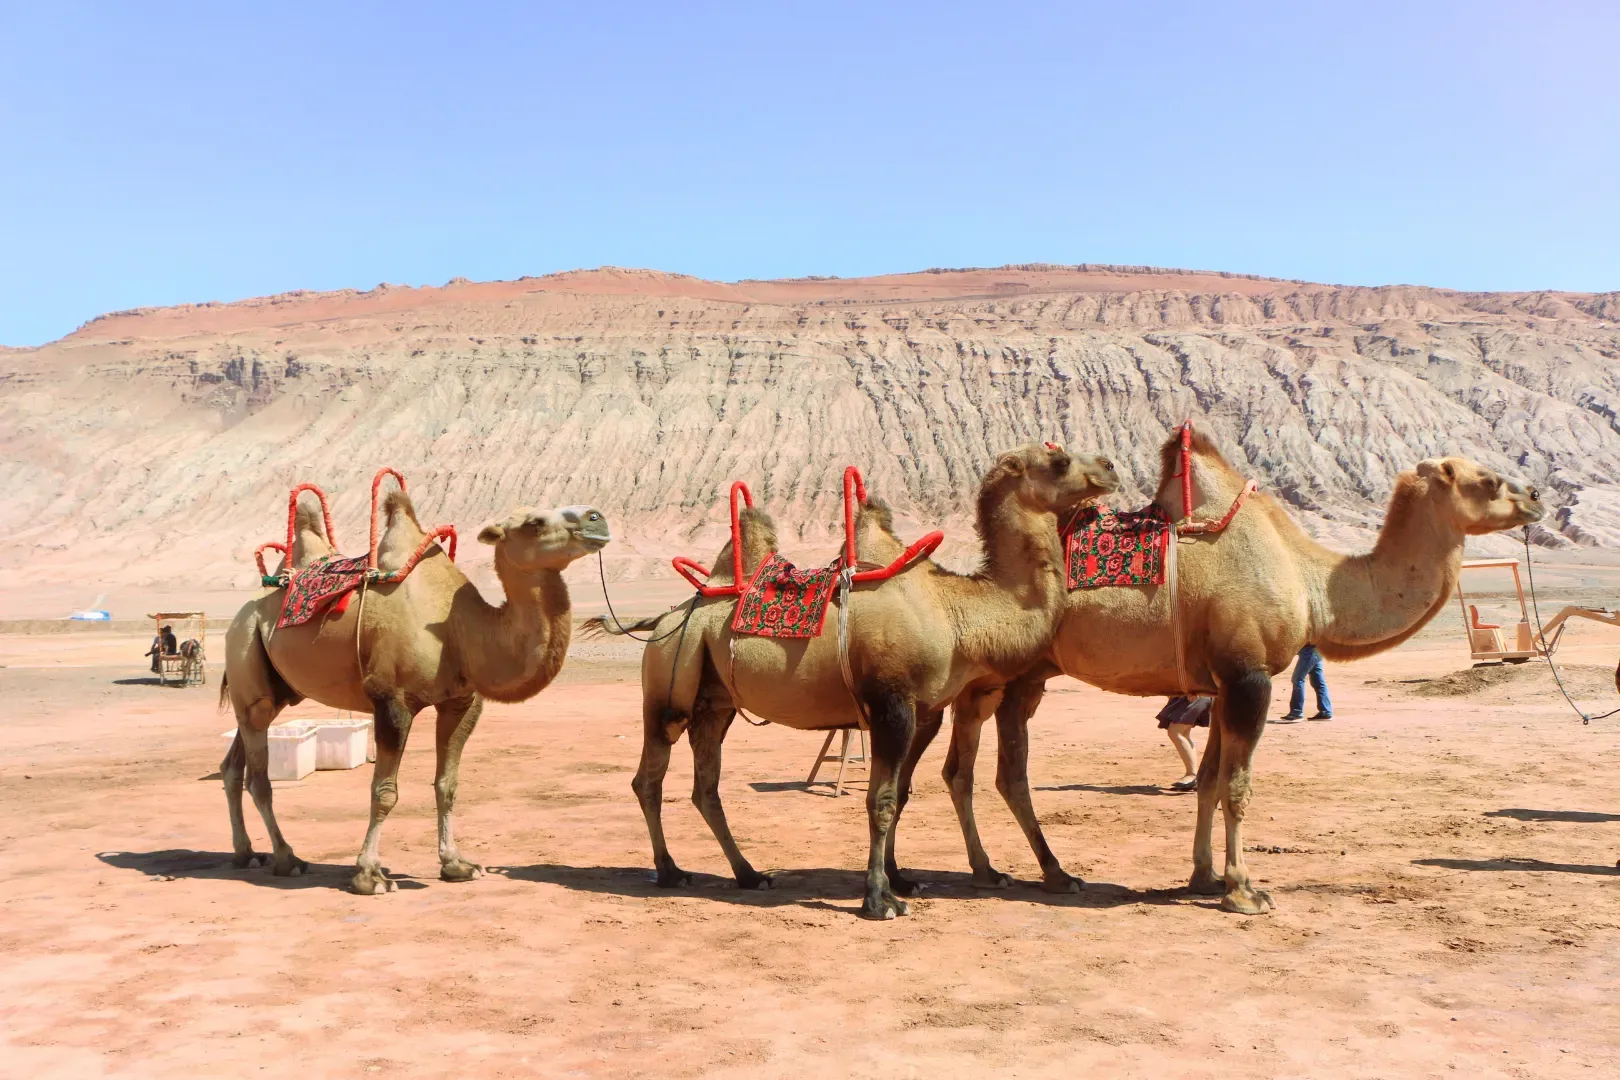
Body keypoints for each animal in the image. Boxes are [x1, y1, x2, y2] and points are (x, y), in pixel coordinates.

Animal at [220, 491, 610, 894]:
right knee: (258, 777)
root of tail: (242, 613)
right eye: (534, 523)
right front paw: (369, 875)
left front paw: (457, 864)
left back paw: (246, 853)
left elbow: (447, 785)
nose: (596, 518)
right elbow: (384, 791)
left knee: (233, 766)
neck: (458, 628)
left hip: (274, 693)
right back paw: (287, 858)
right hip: (246, 655)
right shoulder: (392, 701)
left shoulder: (461, 702)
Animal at [600, 445, 1119, 919]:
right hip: (668, 682)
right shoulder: (892, 705)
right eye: (1058, 461)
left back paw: (749, 875)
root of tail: (663, 620)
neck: (956, 612)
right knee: (649, 778)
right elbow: (881, 801)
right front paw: (877, 900)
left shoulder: (924, 712)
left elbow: (900, 794)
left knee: (705, 787)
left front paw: (901, 880)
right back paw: (670, 871)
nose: (1110, 468)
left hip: (715, 703)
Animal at [944, 426, 1544, 914]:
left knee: (973, 768)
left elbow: (1209, 781)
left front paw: (1205, 877)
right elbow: (1237, 786)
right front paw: (1244, 891)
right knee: (1007, 771)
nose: (1537, 497)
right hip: (1015, 674)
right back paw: (1046, 873)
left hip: (1013, 676)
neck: (1310, 582)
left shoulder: (1219, 685)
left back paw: (1010, 871)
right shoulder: (1248, 676)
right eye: (1489, 481)